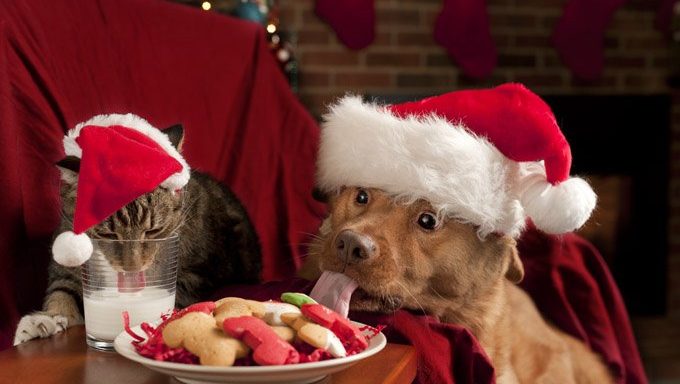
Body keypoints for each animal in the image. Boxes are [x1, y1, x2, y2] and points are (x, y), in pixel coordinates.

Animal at [13, 124, 262, 344]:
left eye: (154, 231)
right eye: (108, 235)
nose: (131, 268)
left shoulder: (196, 274)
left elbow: (176, 293)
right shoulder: (67, 270)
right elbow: (61, 293)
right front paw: (45, 320)